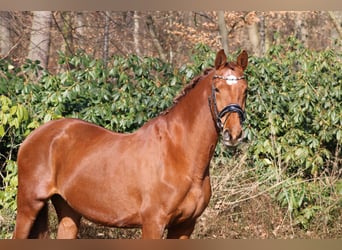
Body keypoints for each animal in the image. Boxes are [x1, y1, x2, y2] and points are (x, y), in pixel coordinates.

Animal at [13, 48, 248, 238]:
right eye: (217, 89)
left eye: (245, 90)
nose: (233, 134)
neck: (178, 153)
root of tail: (35, 136)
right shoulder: (153, 223)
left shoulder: (184, 226)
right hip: (29, 205)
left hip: (69, 212)